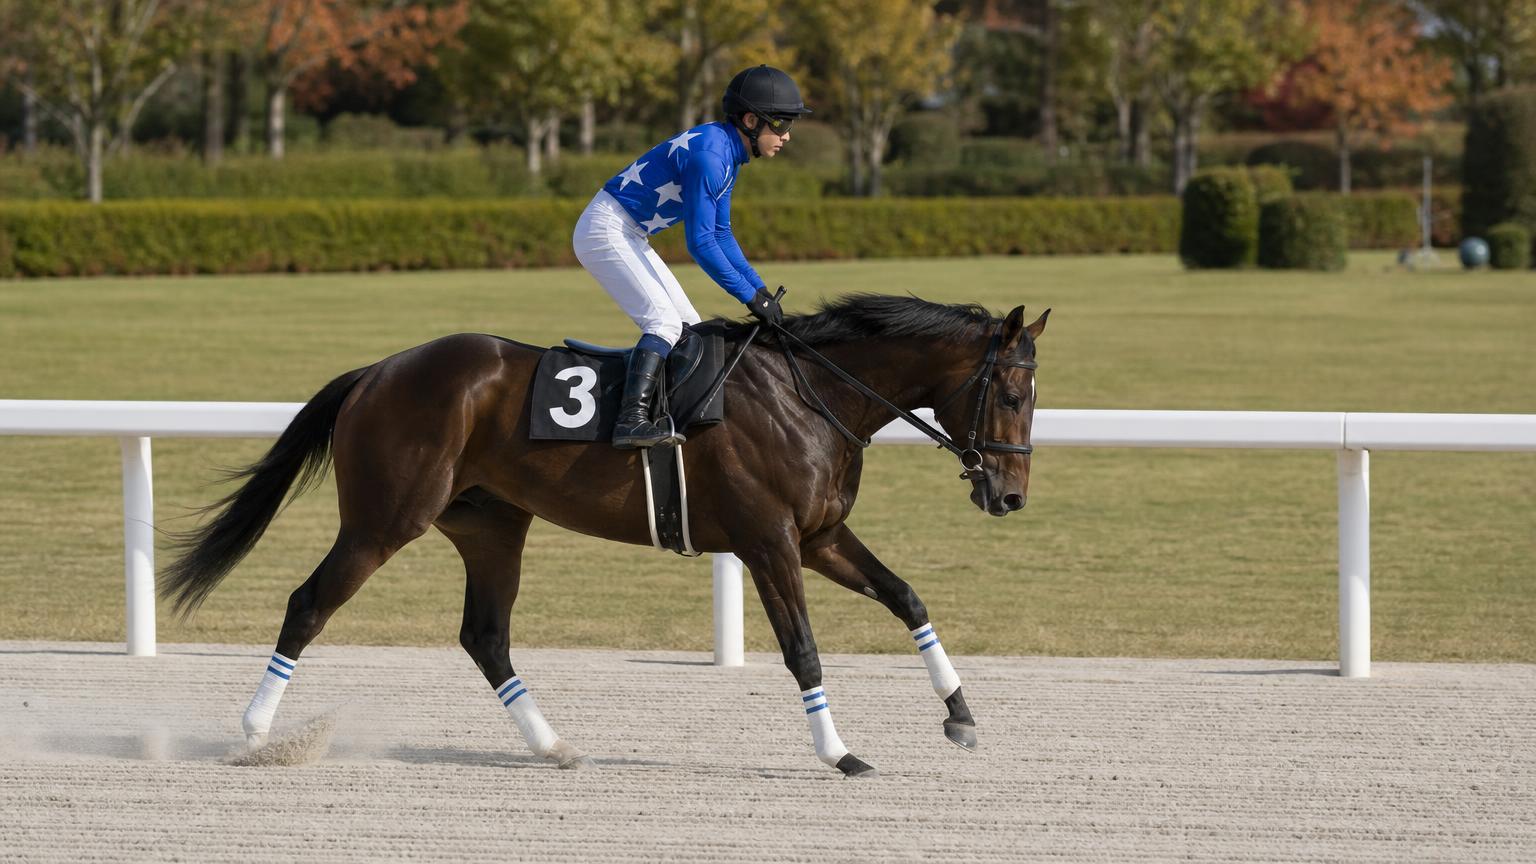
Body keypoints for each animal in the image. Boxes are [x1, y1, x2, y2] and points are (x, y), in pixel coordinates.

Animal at [160, 293, 1048, 777]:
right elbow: (803, 650)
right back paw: (255, 735)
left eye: (1033, 394)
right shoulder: (769, 541)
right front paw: (840, 753)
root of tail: (377, 371)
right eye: (1009, 392)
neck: (813, 393)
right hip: (384, 519)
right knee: (309, 603)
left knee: (485, 635)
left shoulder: (821, 535)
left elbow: (907, 598)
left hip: (491, 524)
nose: (1008, 495)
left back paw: (553, 746)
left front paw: (961, 715)